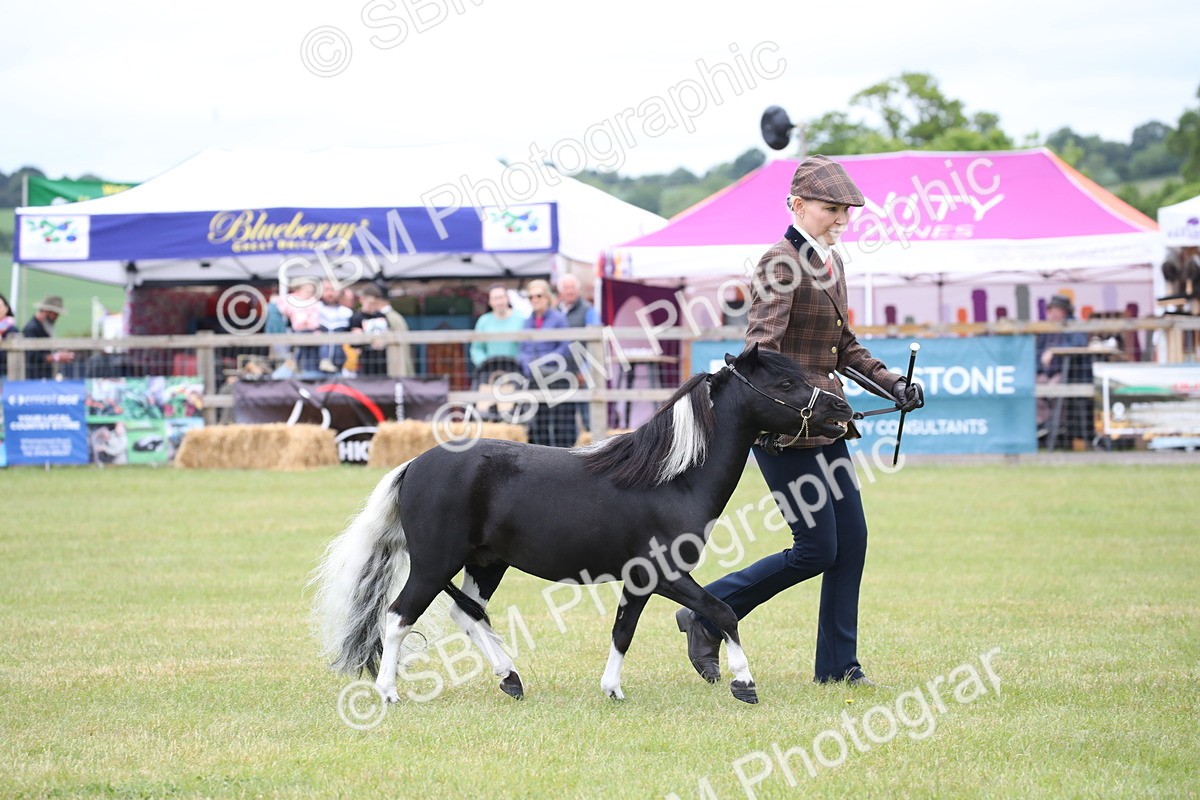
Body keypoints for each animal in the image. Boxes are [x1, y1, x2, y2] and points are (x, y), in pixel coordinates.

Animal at [312, 343, 854, 705]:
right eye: (785, 384)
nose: (842, 409)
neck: (670, 478)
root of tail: (413, 465)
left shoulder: (641, 580)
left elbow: (623, 630)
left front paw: (611, 689)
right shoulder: (666, 573)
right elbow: (723, 612)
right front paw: (744, 683)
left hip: (485, 564)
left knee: (467, 615)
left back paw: (511, 680)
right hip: (433, 565)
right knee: (399, 616)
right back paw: (388, 694)